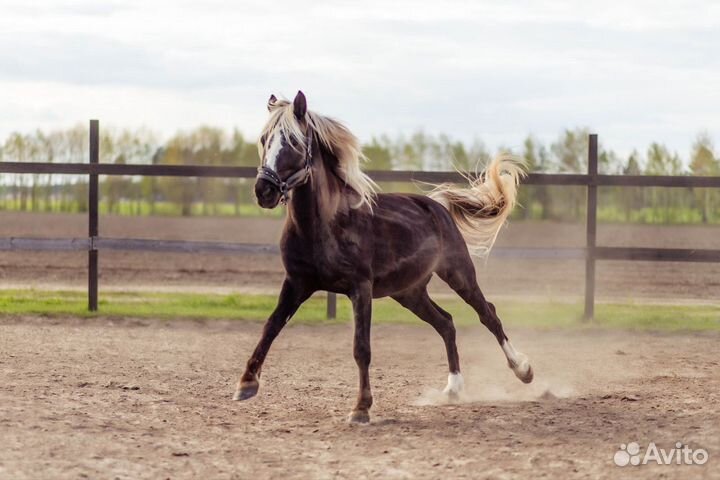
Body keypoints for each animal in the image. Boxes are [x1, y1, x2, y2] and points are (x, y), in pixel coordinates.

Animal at [234, 91, 533, 424]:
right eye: (264, 139)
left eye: (293, 142)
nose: (264, 190)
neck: (324, 226)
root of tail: (438, 206)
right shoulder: (297, 283)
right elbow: (271, 326)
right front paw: (246, 384)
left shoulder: (360, 288)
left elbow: (361, 348)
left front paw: (361, 408)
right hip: (409, 292)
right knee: (446, 322)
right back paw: (453, 389)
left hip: (459, 274)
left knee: (487, 314)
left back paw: (523, 370)